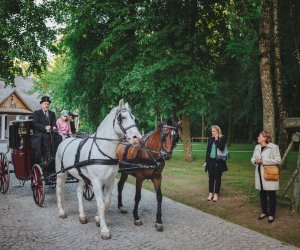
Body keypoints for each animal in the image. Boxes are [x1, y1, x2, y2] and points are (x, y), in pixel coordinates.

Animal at [55, 99, 142, 238]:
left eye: (135, 119)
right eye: (122, 117)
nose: (137, 138)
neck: (102, 150)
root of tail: (65, 141)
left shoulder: (110, 181)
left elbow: (107, 202)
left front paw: (97, 219)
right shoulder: (96, 181)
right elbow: (100, 204)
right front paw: (104, 229)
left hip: (81, 176)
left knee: (79, 191)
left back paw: (82, 215)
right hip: (61, 173)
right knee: (59, 190)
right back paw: (62, 211)